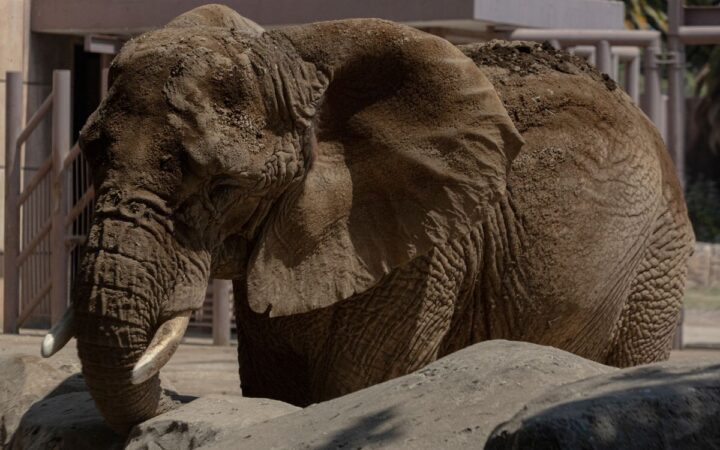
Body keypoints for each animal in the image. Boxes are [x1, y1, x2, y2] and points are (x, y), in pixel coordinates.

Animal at [40, 4, 694, 433]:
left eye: (224, 187)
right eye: (91, 154)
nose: (180, 404)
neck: (296, 59)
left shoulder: (425, 251)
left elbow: (357, 387)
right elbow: (275, 388)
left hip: (655, 257)